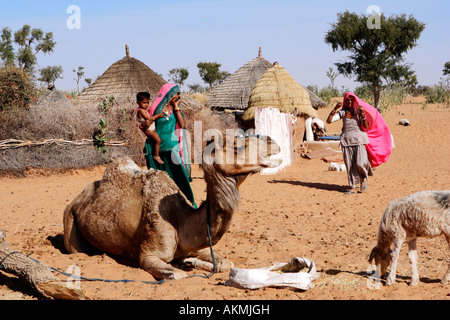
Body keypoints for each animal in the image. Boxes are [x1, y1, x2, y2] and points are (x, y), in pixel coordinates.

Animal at [63, 134, 280, 278]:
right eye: (236, 145)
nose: (273, 142)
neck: (182, 220)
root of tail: (77, 198)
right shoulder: (149, 255)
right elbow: (178, 275)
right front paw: (185, 267)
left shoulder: (192, 245)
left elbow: (225, 263)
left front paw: (191, 262)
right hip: (69, 222)